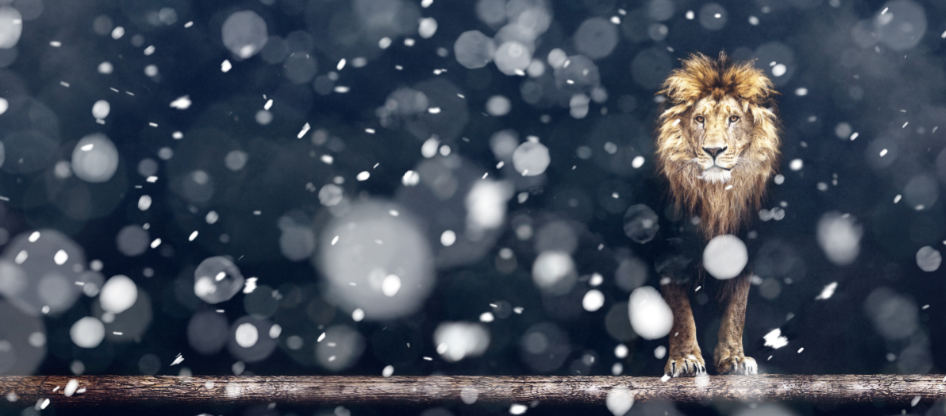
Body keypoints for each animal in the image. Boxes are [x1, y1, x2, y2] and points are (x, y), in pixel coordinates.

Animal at [653, 52, 780, 377]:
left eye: (733, 119)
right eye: (700, 119)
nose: (713, 150)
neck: (716, 197)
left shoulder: (744, 244)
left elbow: (737, 310)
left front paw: (734, 359)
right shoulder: (670, 251)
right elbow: (679, 312)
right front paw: (686, 359)